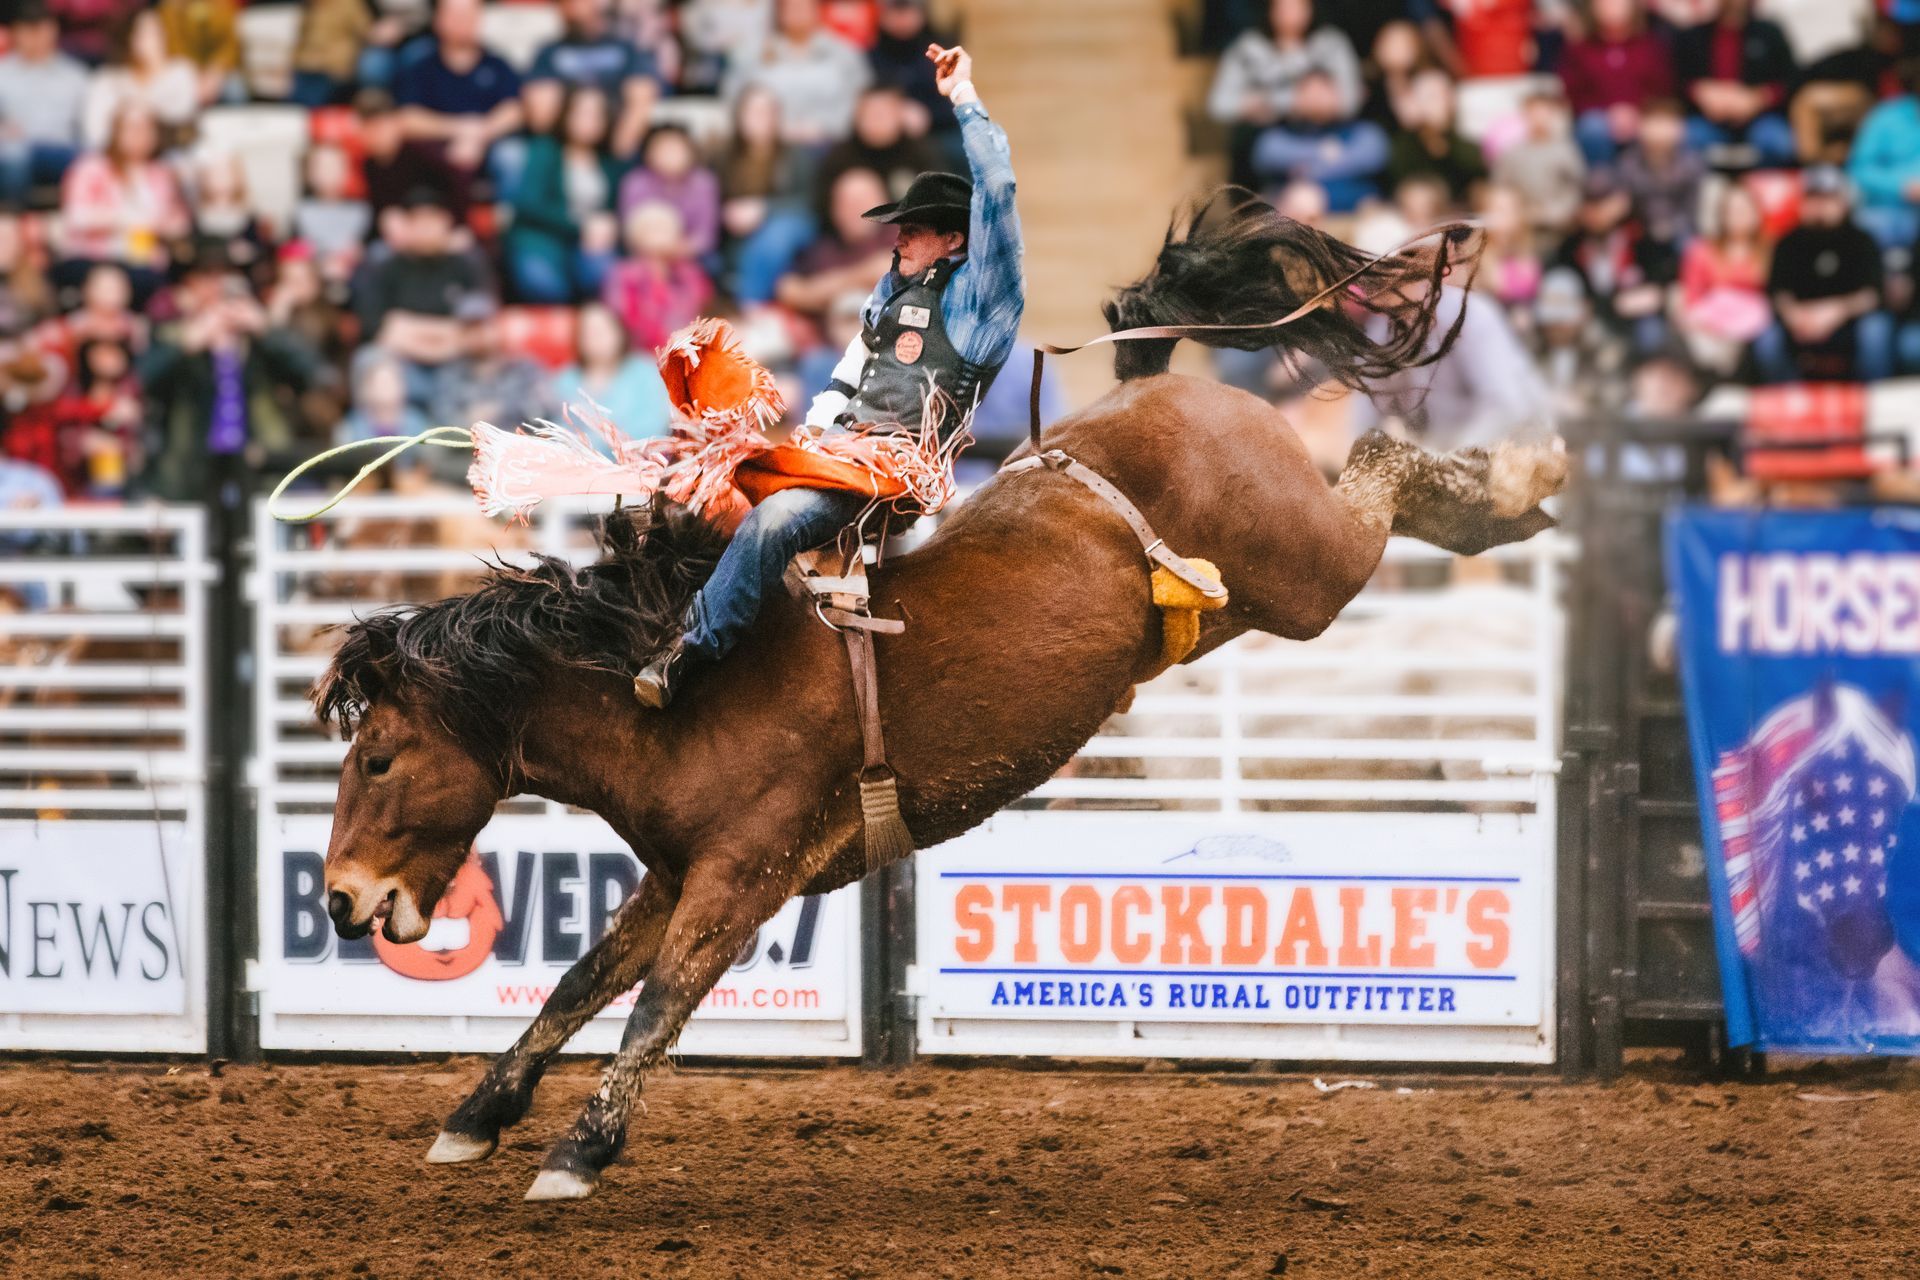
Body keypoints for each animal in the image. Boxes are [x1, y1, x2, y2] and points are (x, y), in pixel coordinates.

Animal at [311, 189, 1559, 1205]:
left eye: (376, 756)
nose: (337, 900)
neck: (666, 682)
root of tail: (1161, 393)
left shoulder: (747, 869)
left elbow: (665, 996)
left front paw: (579, 1150)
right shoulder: (672, 868)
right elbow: (581, 978)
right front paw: (477, 1114)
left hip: (1304, 573)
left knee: (1385, 465)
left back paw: (1520, 473)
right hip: (1250, 598)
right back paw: (1509, 496)